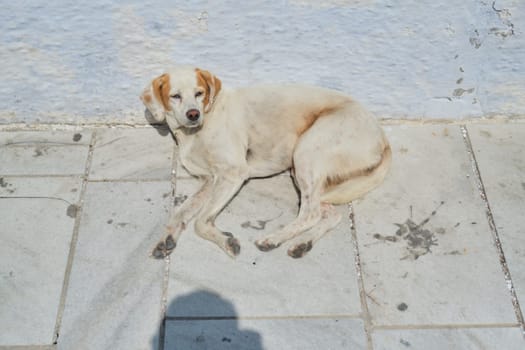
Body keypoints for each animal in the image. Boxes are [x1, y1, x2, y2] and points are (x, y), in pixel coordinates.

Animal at [139, 65, 388, 258]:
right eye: (175, 96)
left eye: (199, 93)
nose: (193, 114)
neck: (194, 133)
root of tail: (382, 136)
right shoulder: (209, 180)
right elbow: (181, 213)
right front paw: (167, 238)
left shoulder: (233, 173)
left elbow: (200, 222)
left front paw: (226, 241)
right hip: (305, 172)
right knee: (329, 213)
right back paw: (302, 244)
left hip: (306, 152)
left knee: (311, 213)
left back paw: (273, 239)